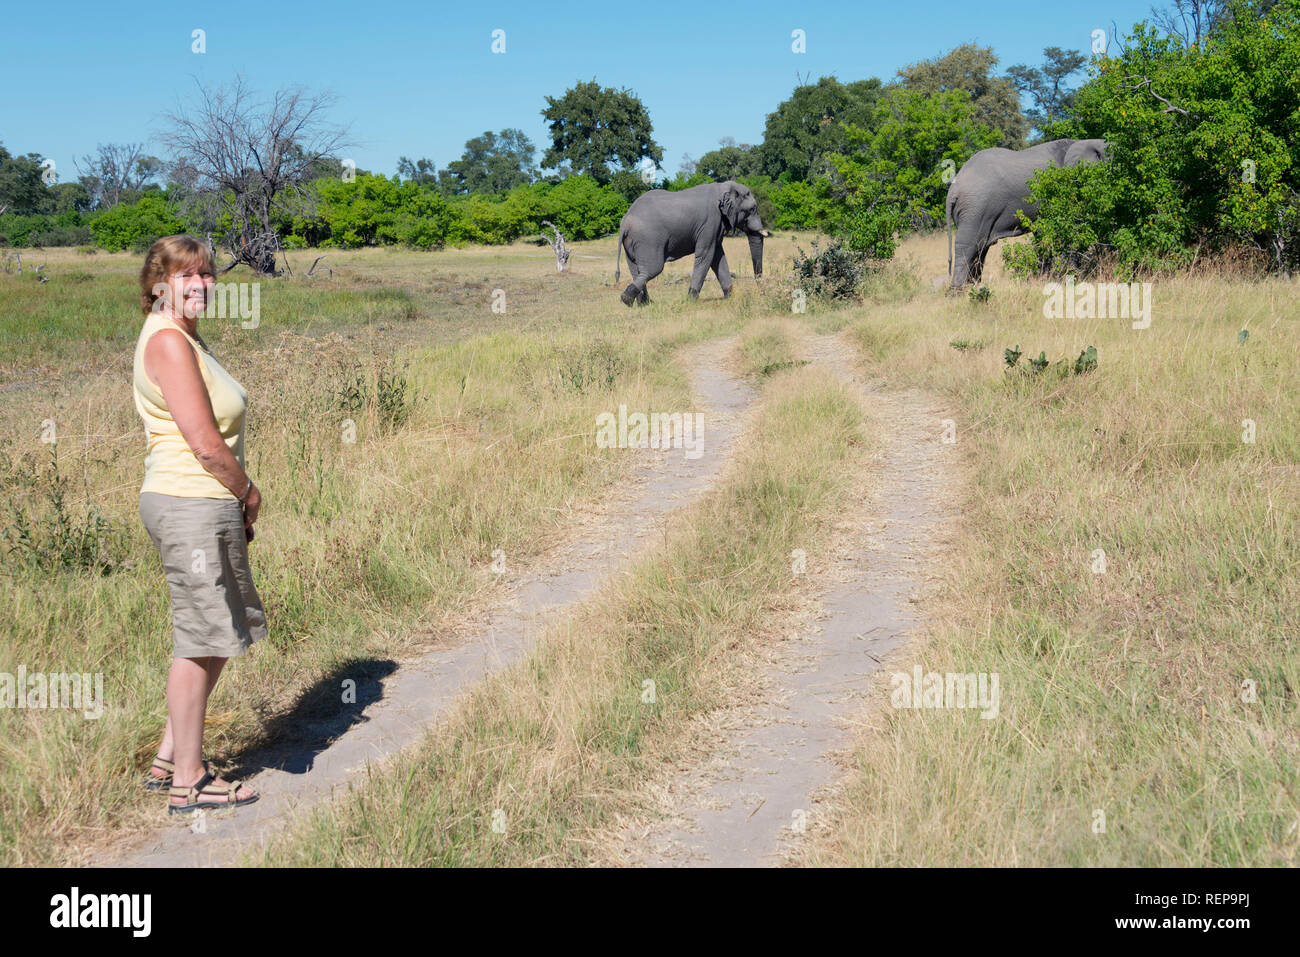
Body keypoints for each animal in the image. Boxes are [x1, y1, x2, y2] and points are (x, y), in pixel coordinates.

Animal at [613, 175, 764, 302]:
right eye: (752, 209)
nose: (761, 291)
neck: (723, 188)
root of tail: (625, 221)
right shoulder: (709, 223)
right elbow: (706, 256)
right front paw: (691, 301)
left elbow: (718, 257)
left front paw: (730, 297)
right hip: (648, 240)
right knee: (653, 269)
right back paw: (627, 299)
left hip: (631, 242)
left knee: (635, 269)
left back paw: (643, 303)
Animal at [946, 137, 1107, 287]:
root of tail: (953, 190)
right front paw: (1075, 277)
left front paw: (1043, 279)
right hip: (975, 207)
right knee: (968, 246)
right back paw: (959, 290)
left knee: (980, 248)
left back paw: (973, 286)